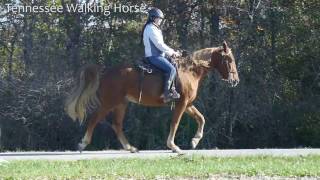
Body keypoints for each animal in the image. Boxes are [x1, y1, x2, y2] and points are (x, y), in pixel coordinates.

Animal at [65, 41, 239, 153]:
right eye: (229, 59)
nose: (235, 81)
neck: (190, 71)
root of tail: (105, 72)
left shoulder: (188, 104)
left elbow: (201, 118)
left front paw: (195, 141)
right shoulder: (182, 104)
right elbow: (175, 123)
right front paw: (173, 146)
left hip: (121, 104)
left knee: (117, 125)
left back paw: (131, 148)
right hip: (109, 103)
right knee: (94, 119)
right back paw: (82, 144)